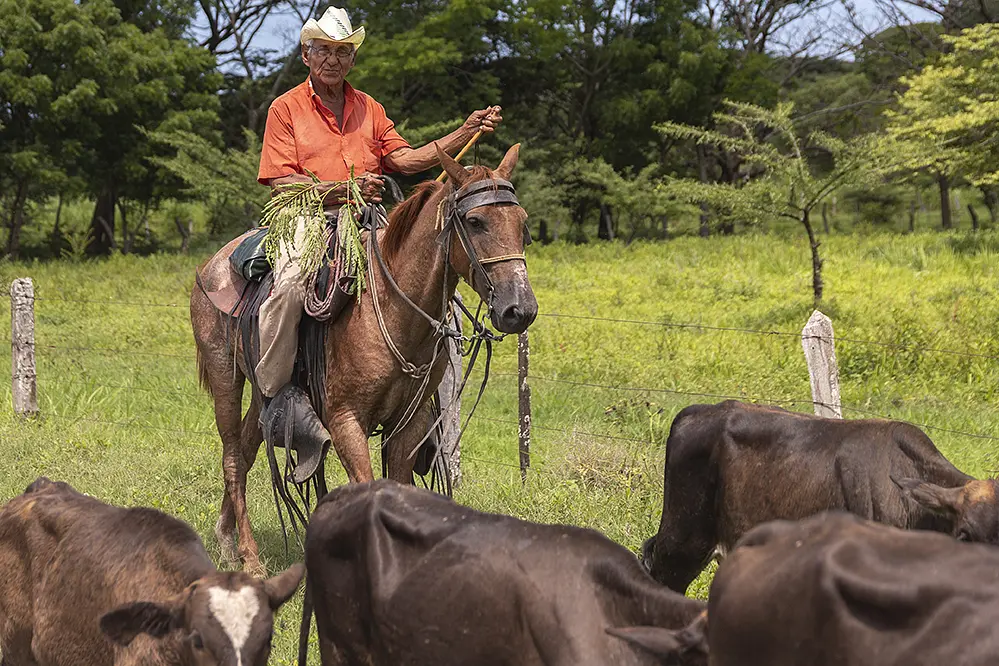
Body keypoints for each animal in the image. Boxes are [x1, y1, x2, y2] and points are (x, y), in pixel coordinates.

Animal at [193, 147, 540, 576]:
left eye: (522, 224)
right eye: (475, 222)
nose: (519, 309)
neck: (391, 310)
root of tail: (214, 263)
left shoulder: (410, 422)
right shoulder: (345, 420)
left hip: (261, 393)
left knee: (246, 447)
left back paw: (227, 541)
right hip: (225, 374)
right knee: (232, 458)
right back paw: (250, 559)